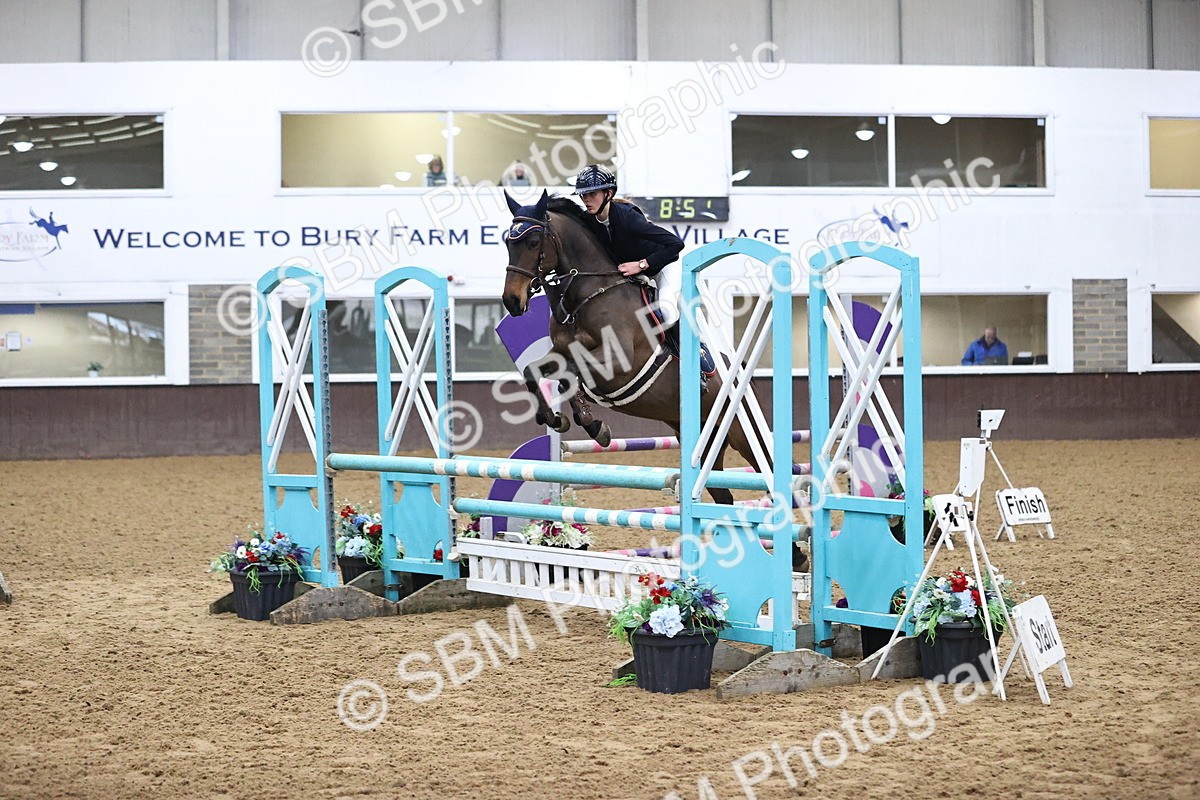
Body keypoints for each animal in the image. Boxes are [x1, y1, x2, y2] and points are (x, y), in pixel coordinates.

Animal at [501, 190, 770, 506]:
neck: (587, 296)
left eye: (532, 242)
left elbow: (572, 374)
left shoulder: (620, 364)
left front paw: (593, 425)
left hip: (746, 435)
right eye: (508, 242)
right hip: (703, 443)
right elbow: (536, 372)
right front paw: (557, 419)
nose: (511, 301)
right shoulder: (562, 353)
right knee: (723, 495)